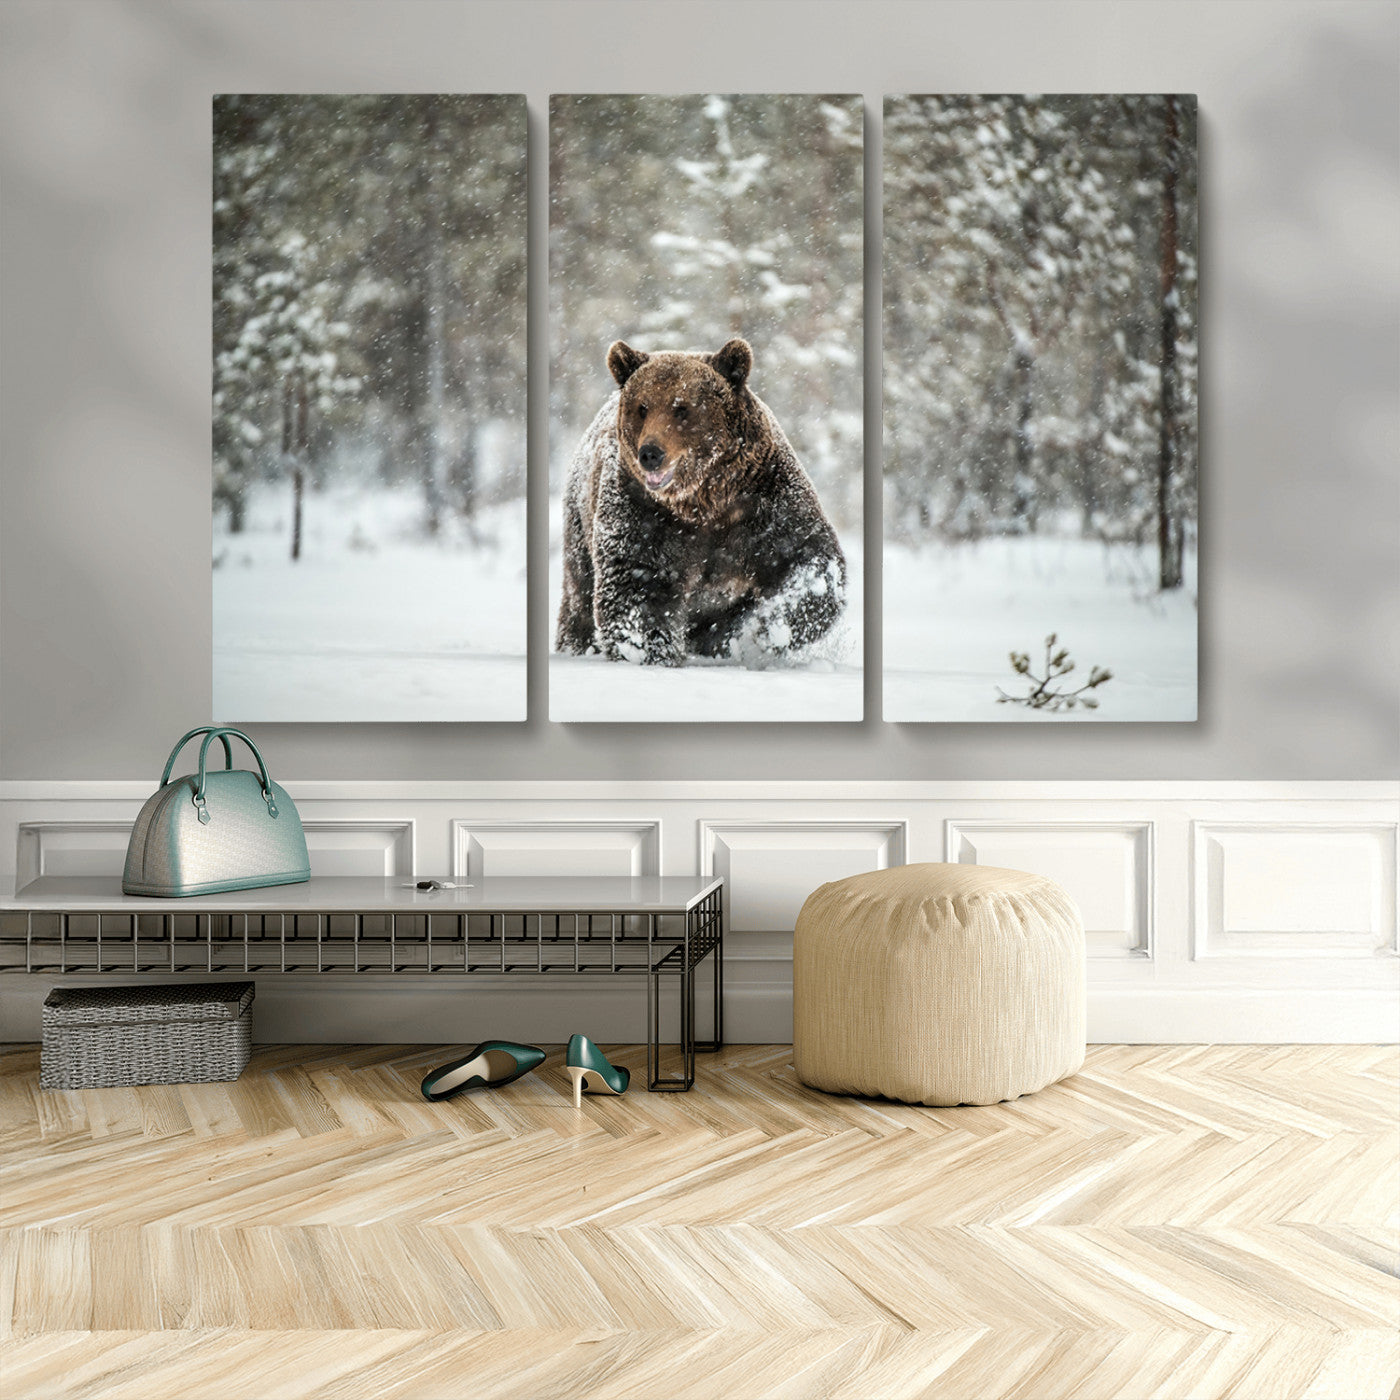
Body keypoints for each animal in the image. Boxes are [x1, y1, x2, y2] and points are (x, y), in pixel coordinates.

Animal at [555, 337, 847, 667]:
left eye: (682, 408)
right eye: (642, 407)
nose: (650, 453)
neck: (704, 500)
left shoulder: (766, 501)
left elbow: (808, 560)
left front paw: (763, 630)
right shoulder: (643, 512)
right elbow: (636, 584)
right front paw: (652, 653)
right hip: (580, 523)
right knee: (579, 595)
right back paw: (577, 644)